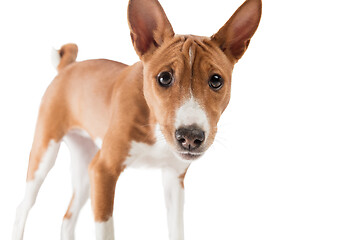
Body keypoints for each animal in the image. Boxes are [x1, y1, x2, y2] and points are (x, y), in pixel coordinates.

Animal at [12, 0, 262, 239]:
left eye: (216, 80)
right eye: (164, 77)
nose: (190, 136)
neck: (154, 127)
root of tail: (68, 67)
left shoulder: (173, 179)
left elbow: (176, 230)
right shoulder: (103, 170)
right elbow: (106, 231)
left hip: (84, 169)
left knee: (67, 219)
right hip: (45, 156)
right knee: (23, 207)